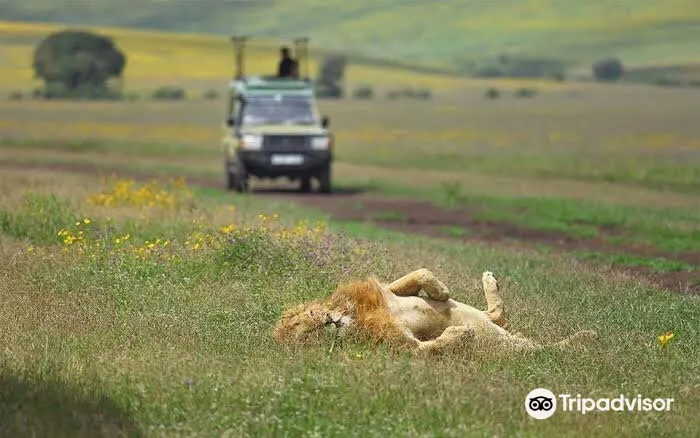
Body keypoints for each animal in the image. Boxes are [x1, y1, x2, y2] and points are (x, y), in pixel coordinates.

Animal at [274, 269, 596, 355]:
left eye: (311, 319)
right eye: (308, 335)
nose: (330, 321)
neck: (354, 317)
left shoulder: (386, 291)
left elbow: (418, 275)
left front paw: (440, 291)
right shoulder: (405, 348)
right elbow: (432, 347)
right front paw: (460, 334)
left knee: (496, 314)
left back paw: (490, 280)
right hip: (517, 349)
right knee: (545, 349)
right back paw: (586, 337)